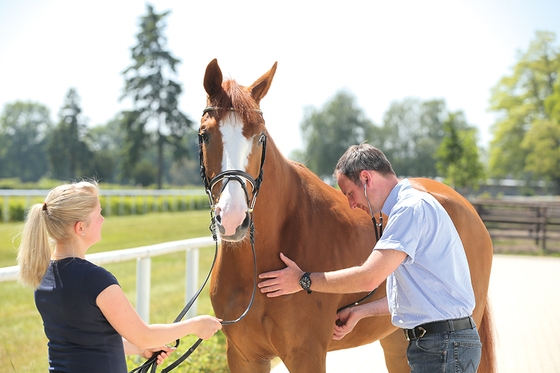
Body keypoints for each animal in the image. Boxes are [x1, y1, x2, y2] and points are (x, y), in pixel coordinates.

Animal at [199, 58, 496, 372]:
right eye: (204, 135)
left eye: (260, 137)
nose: (233, 218)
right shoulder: (243, 356)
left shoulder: (306, 354)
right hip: (396, 340)